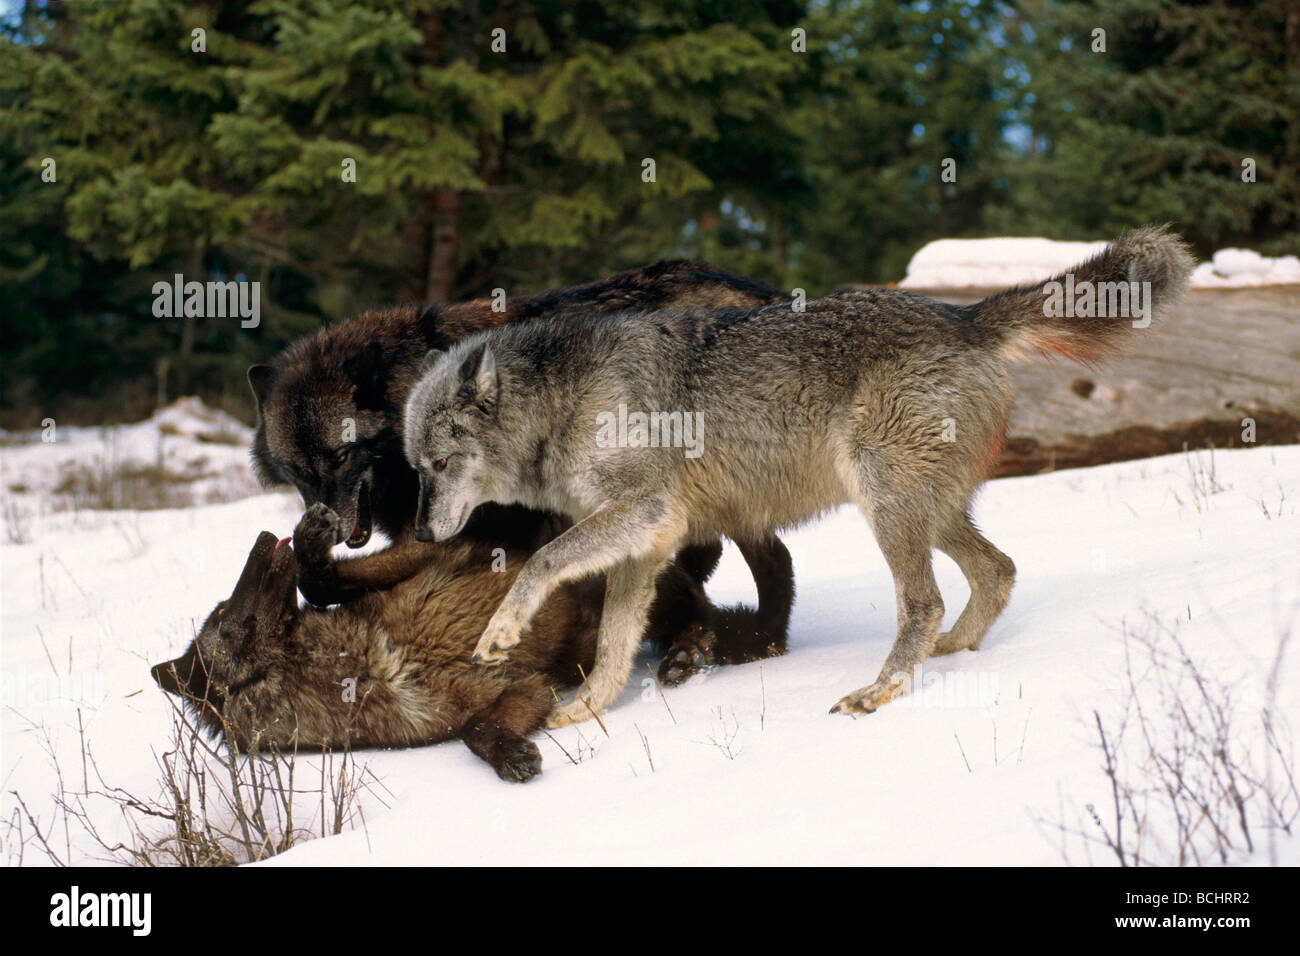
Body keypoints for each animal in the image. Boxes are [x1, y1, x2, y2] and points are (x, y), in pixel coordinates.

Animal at [151, 513, 717, 781]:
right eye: (223, 612)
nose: (266, 537)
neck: (358, 663)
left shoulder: (435, 556)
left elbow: (325, 581)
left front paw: (312, 545)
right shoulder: (521, 691)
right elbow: (475, 731)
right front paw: (512, 756)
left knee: (695, 600)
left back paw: (687, 652)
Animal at [247, 260, 795, 681]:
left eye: (341, 456)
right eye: (297, 472)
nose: (335, 523)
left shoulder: (454, 533)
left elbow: (322, 583)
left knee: (772, 560)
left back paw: (738, 644)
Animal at [402, 226, 1194, 727]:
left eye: (439, 465)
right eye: (415, 469)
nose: (422, 531)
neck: (562, 401)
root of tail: (962, 314)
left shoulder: (644, 514)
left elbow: (542, 559)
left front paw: (502, 632)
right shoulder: (648, 545)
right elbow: (614, 645)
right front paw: (586, 711)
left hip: (886, 502)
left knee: (926, 602)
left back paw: (880, 691)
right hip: (926, 510)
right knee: (996, 571)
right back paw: (947, 659)